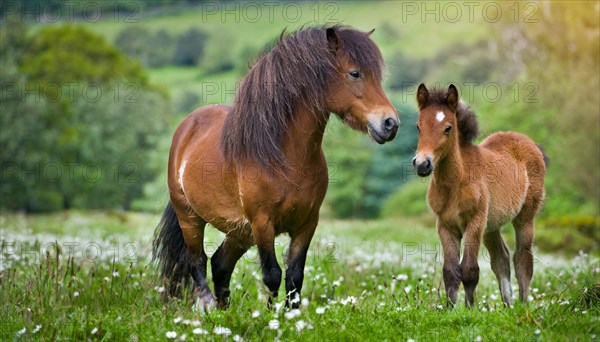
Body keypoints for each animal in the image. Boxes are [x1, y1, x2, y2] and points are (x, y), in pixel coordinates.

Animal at [412, 83, 548, 308]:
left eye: (448, 128)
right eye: (418, 126)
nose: (422, 164)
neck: (455, 182)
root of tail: (530, 143)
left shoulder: (474, 222)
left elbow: (469, 269)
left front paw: (470, 309)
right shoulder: (445, 225)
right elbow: (450, 271)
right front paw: (450, 309)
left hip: (524, 218)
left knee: (523, 259)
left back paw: (522, 305)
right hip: (491, 225)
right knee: (501, 259)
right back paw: (508, 305)